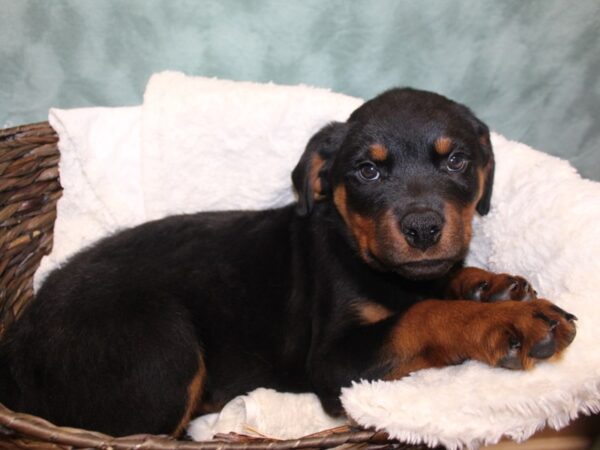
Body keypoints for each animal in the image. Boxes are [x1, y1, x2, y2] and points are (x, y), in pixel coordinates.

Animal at [0, 88, 576, 436]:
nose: (422, 229)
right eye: (367, 171)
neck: (363, 256)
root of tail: (17, 346)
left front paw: (489, 285)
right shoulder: (337, 363)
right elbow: (423, 314)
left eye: (456, 160)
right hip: (161, 345)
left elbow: (438, 287)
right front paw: (511, 320)